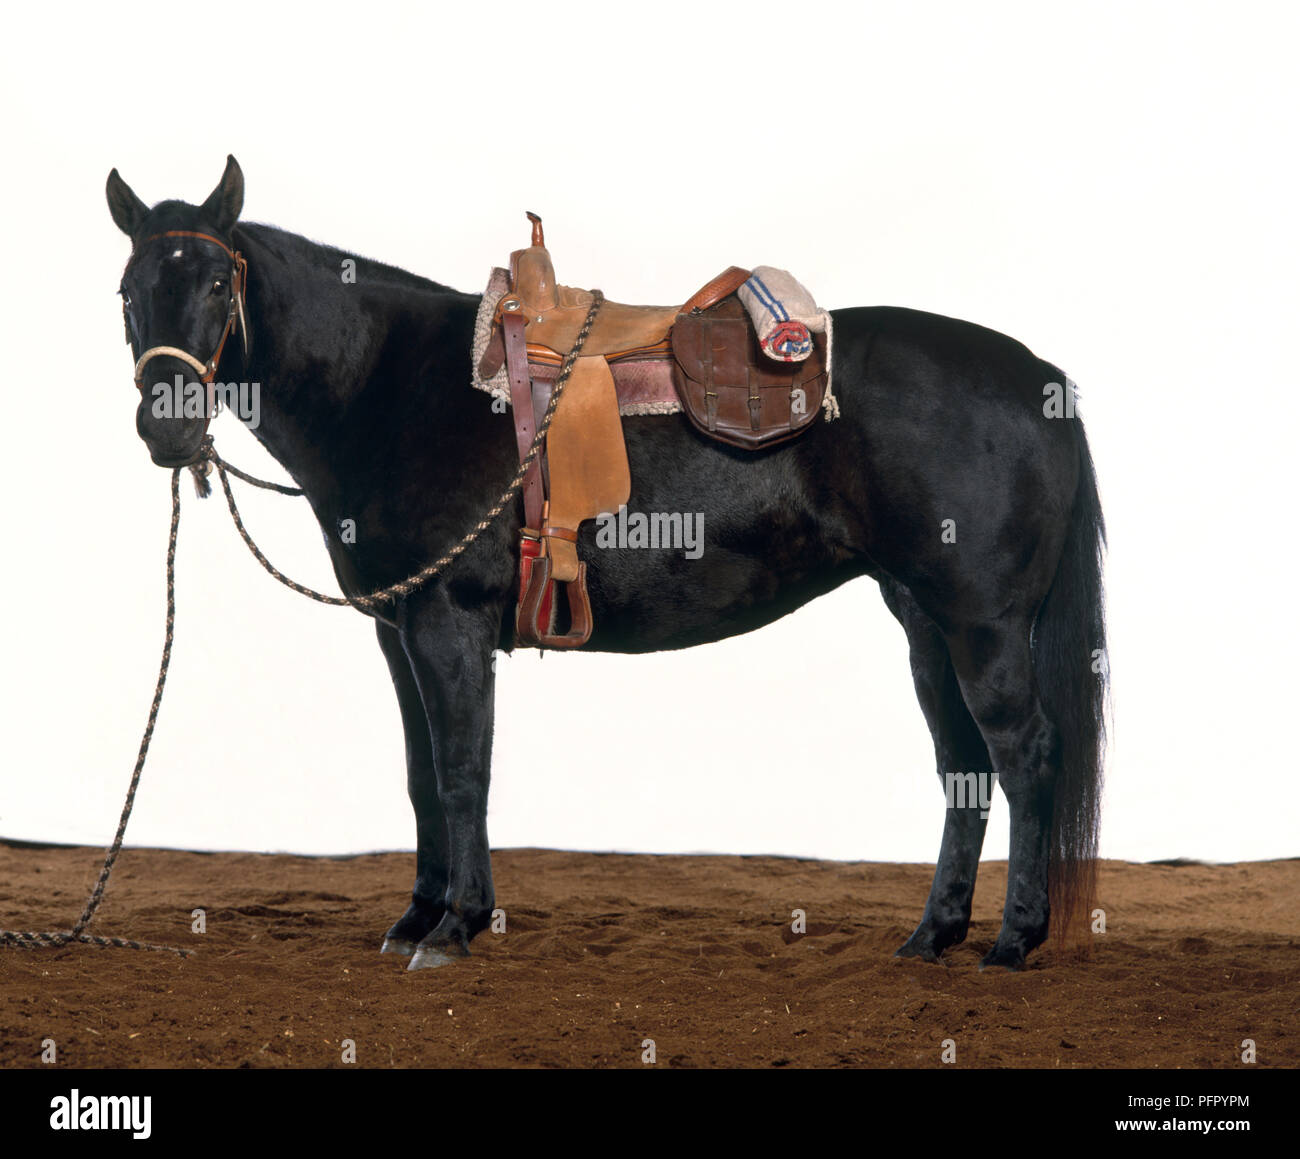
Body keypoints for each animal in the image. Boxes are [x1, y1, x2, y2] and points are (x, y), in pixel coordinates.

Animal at [106, 153, 1107, 966]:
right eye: (128, 291)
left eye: (217, 284)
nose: (166, 429)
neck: (391, 383)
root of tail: (1037, 376)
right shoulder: (400, 632)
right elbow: (422, 774)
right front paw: (417, 915)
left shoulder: (448, 625)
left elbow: (463, 769)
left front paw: (456, 926)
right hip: (925, 621)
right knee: (962, 765)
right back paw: (932, 934)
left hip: (983, 625)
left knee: (1024, 751)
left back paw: (1013, 940)